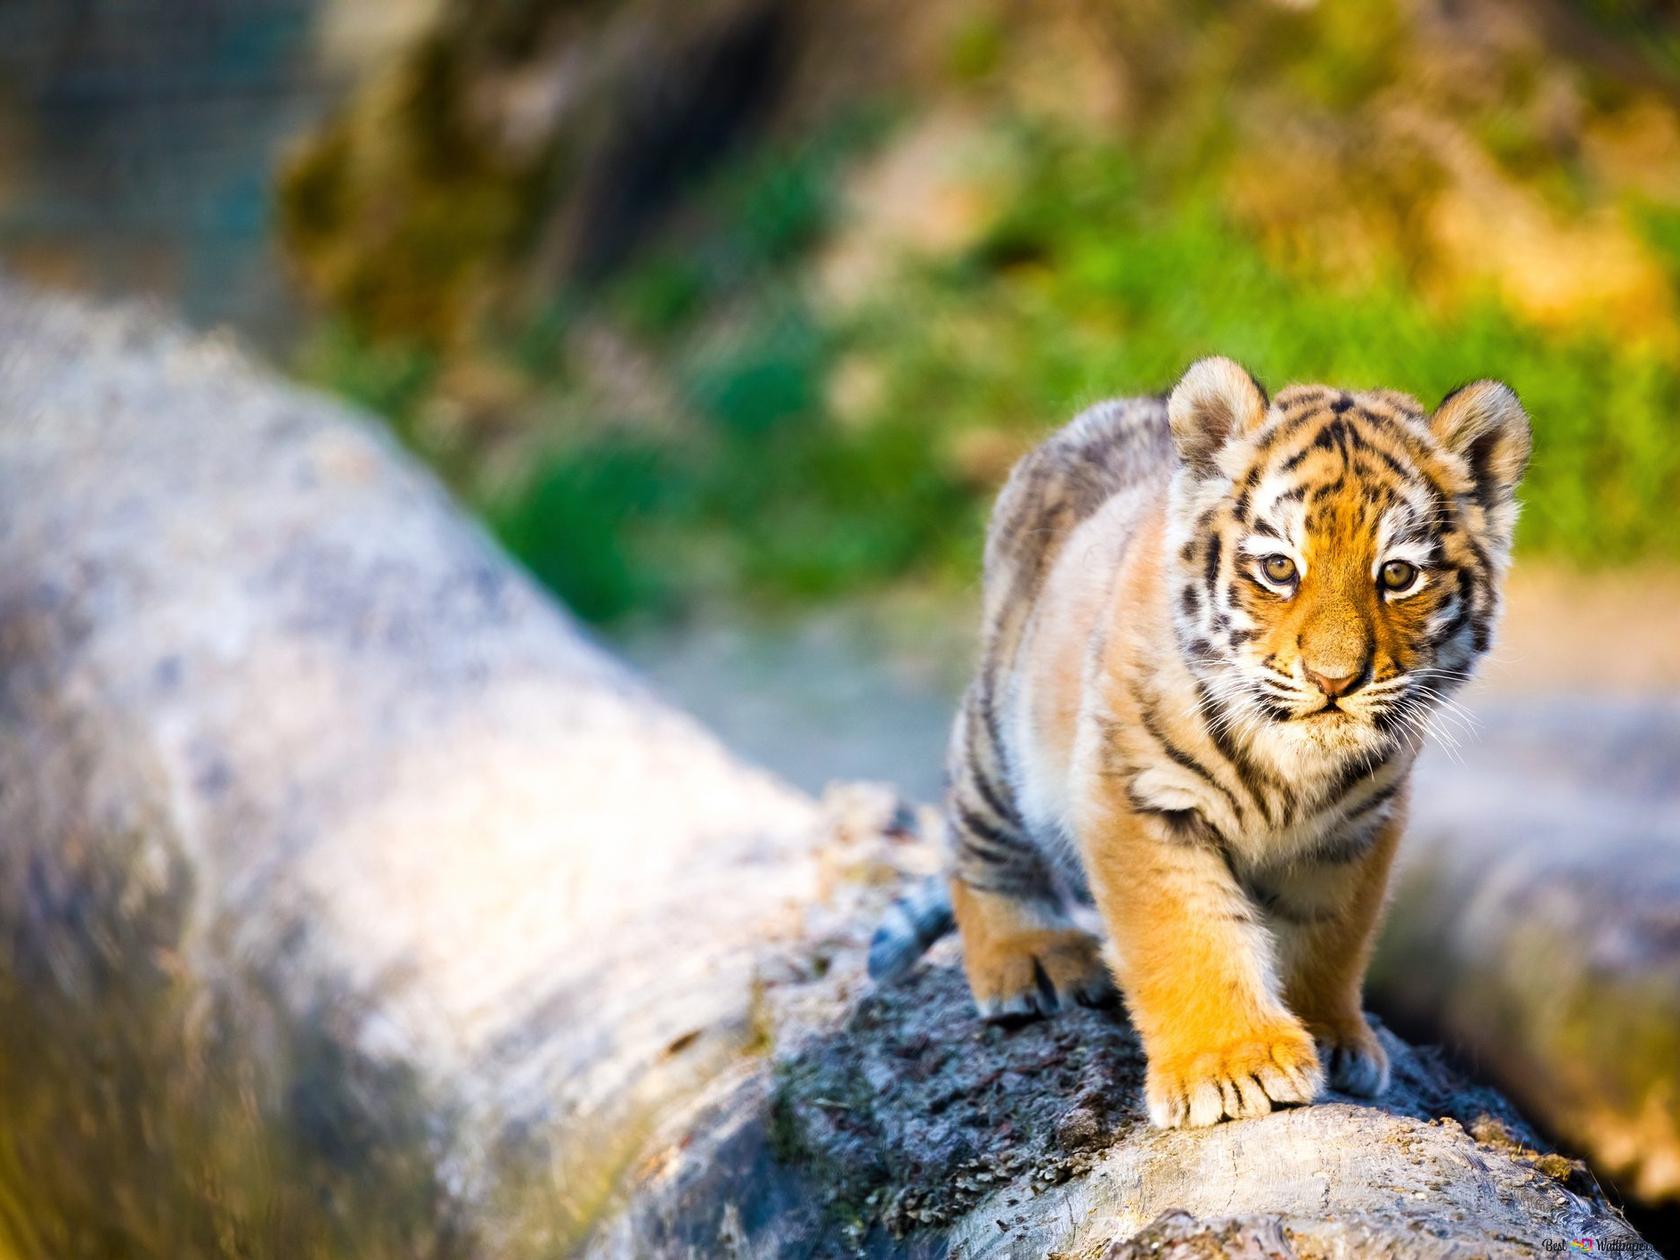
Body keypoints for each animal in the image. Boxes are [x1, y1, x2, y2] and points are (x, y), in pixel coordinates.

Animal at [869, 357, 1530, 1128]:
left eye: (1397, 575)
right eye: (1280, 568)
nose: (1334, 679)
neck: (1296, 766)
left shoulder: (1358, 829)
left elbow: (1329, 937)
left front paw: (1332, 1037)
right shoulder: (1140, 799)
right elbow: (1188, 935)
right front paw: (1233, 1064)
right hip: (998, 743)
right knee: (978, 843)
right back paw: (1030, 955)